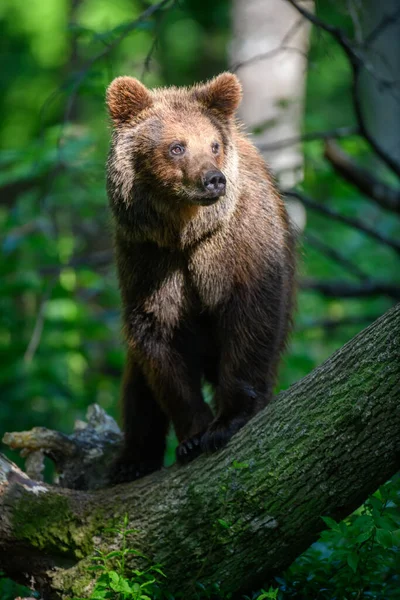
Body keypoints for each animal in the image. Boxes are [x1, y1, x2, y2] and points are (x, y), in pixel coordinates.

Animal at [104, 71, 296, 482]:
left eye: (214, 144)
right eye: (177, 146)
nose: (213, 180)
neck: (185, 231)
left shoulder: (238, 245)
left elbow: (250, 319)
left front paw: (226, 421)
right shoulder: (146, 258)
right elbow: (158, 340)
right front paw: (193, 435)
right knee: (137, 387)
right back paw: (131, 460)